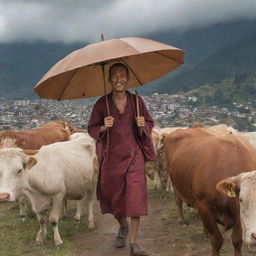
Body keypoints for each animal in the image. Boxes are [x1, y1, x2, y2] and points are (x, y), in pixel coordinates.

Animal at [163, 128, 256, 256]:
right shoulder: (204, 206)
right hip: (175, 184)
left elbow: (237, 241)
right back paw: (182, 220)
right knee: (178, 201)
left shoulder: (238, 216)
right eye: (241, 199)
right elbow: (217, 240)